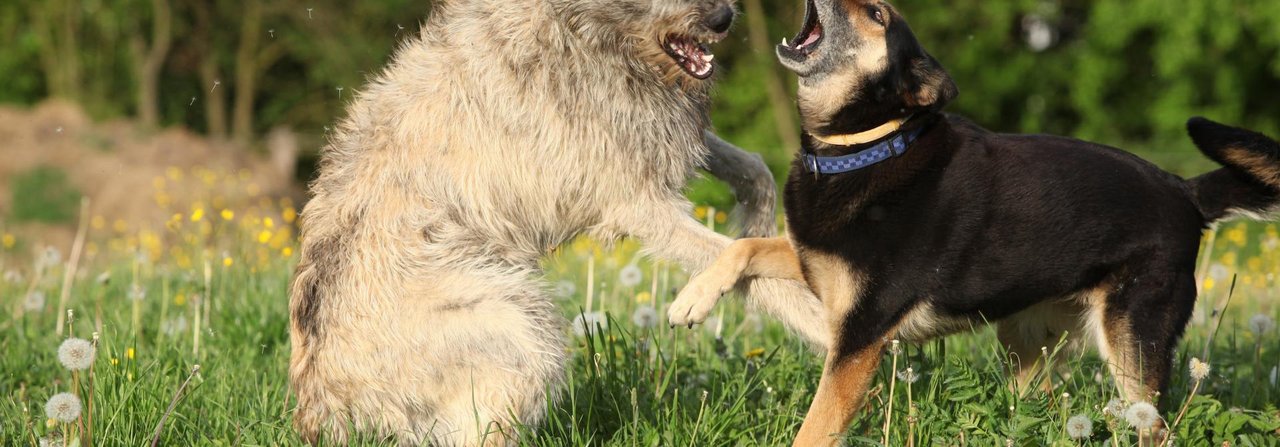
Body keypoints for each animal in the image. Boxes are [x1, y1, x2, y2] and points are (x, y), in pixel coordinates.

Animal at [288, 0, 829, 443]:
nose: (723, 18)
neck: (583, 30)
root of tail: (322, 413)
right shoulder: (640, 204)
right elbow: (751, 272)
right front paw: (828, 331)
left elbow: (753, 168)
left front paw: (756, 219)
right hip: (515, 323)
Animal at [670, 0, 1280, 443]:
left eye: (878, 14)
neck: (866, 145)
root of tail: (1185, 191)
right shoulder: (814, 263)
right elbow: (740, 248)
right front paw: (691, 300)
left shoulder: (860, 340)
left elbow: (816, 428)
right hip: (1026, 344)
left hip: (1132, 344)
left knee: (1154, 427)